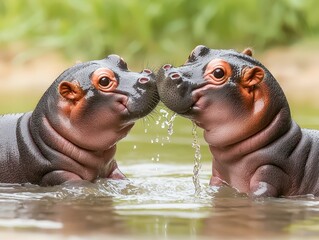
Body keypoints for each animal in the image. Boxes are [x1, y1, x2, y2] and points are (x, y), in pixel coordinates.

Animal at [0, 54, 160, 186]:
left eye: (120, 60)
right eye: (104, 80)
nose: (148, 75)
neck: (41, 135)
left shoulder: (110, 168)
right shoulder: (56, 173)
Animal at [157, 45, 319, 197]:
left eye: (218, 72)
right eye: (195, 51)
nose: (168, 71)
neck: (273, 137)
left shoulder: (269, 173)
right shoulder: (218, 176)